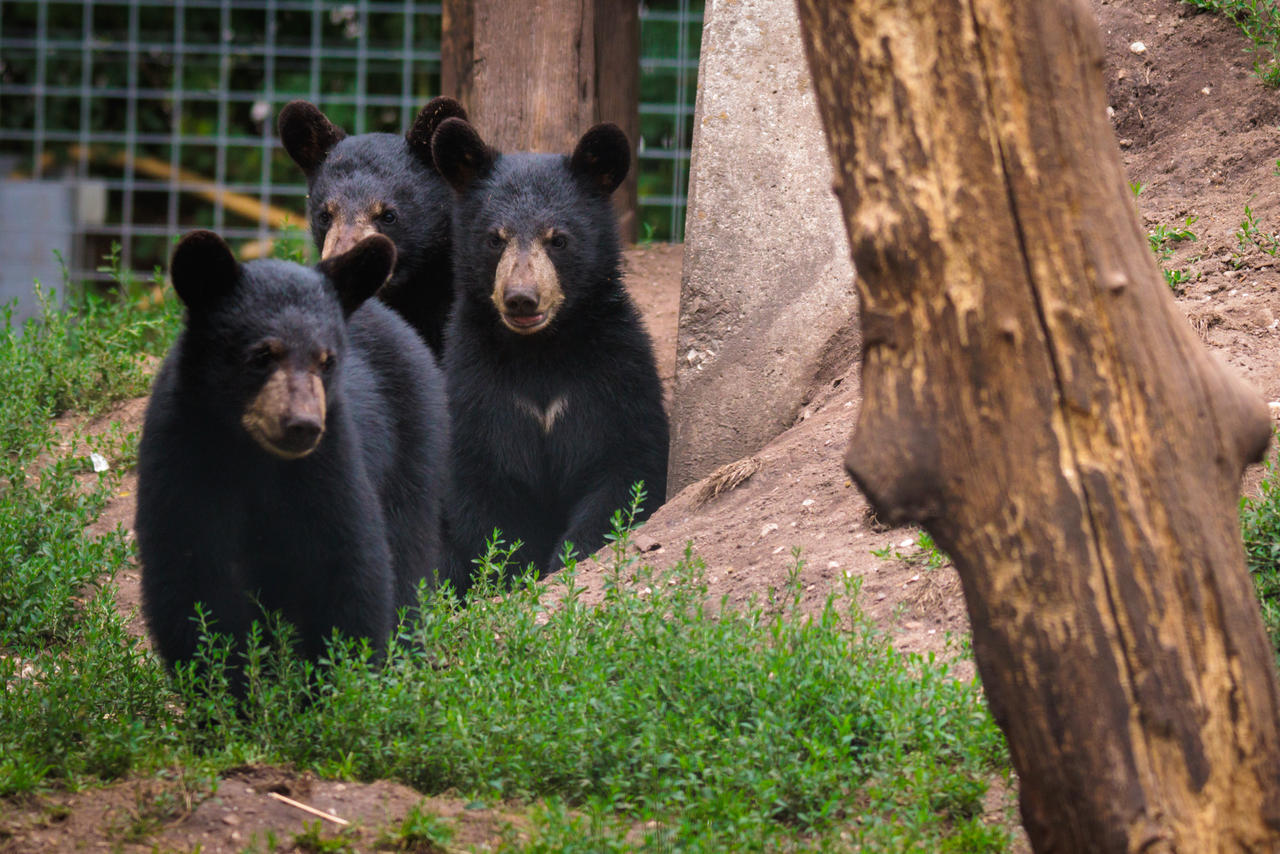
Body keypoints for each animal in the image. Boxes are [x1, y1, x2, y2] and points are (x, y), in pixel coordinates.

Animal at [135, 229, 453, 694]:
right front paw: (227, 696)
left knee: (408, 549)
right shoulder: (182, 451)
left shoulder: (331, 463)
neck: (254, 457)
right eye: (262, 355)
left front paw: (334, 690)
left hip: (413, 449)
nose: (302, 425)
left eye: (327, 360)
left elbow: (351, 569)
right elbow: (192, 583)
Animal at [430, 117, 669, 589]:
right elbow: (484, 488)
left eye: (558, 240)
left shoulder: (615, 374)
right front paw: (510, 574)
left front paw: (566, 558)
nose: (522, 299)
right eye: (495, 239)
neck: (539, 352)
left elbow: (625, 467)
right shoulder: (475, 385)